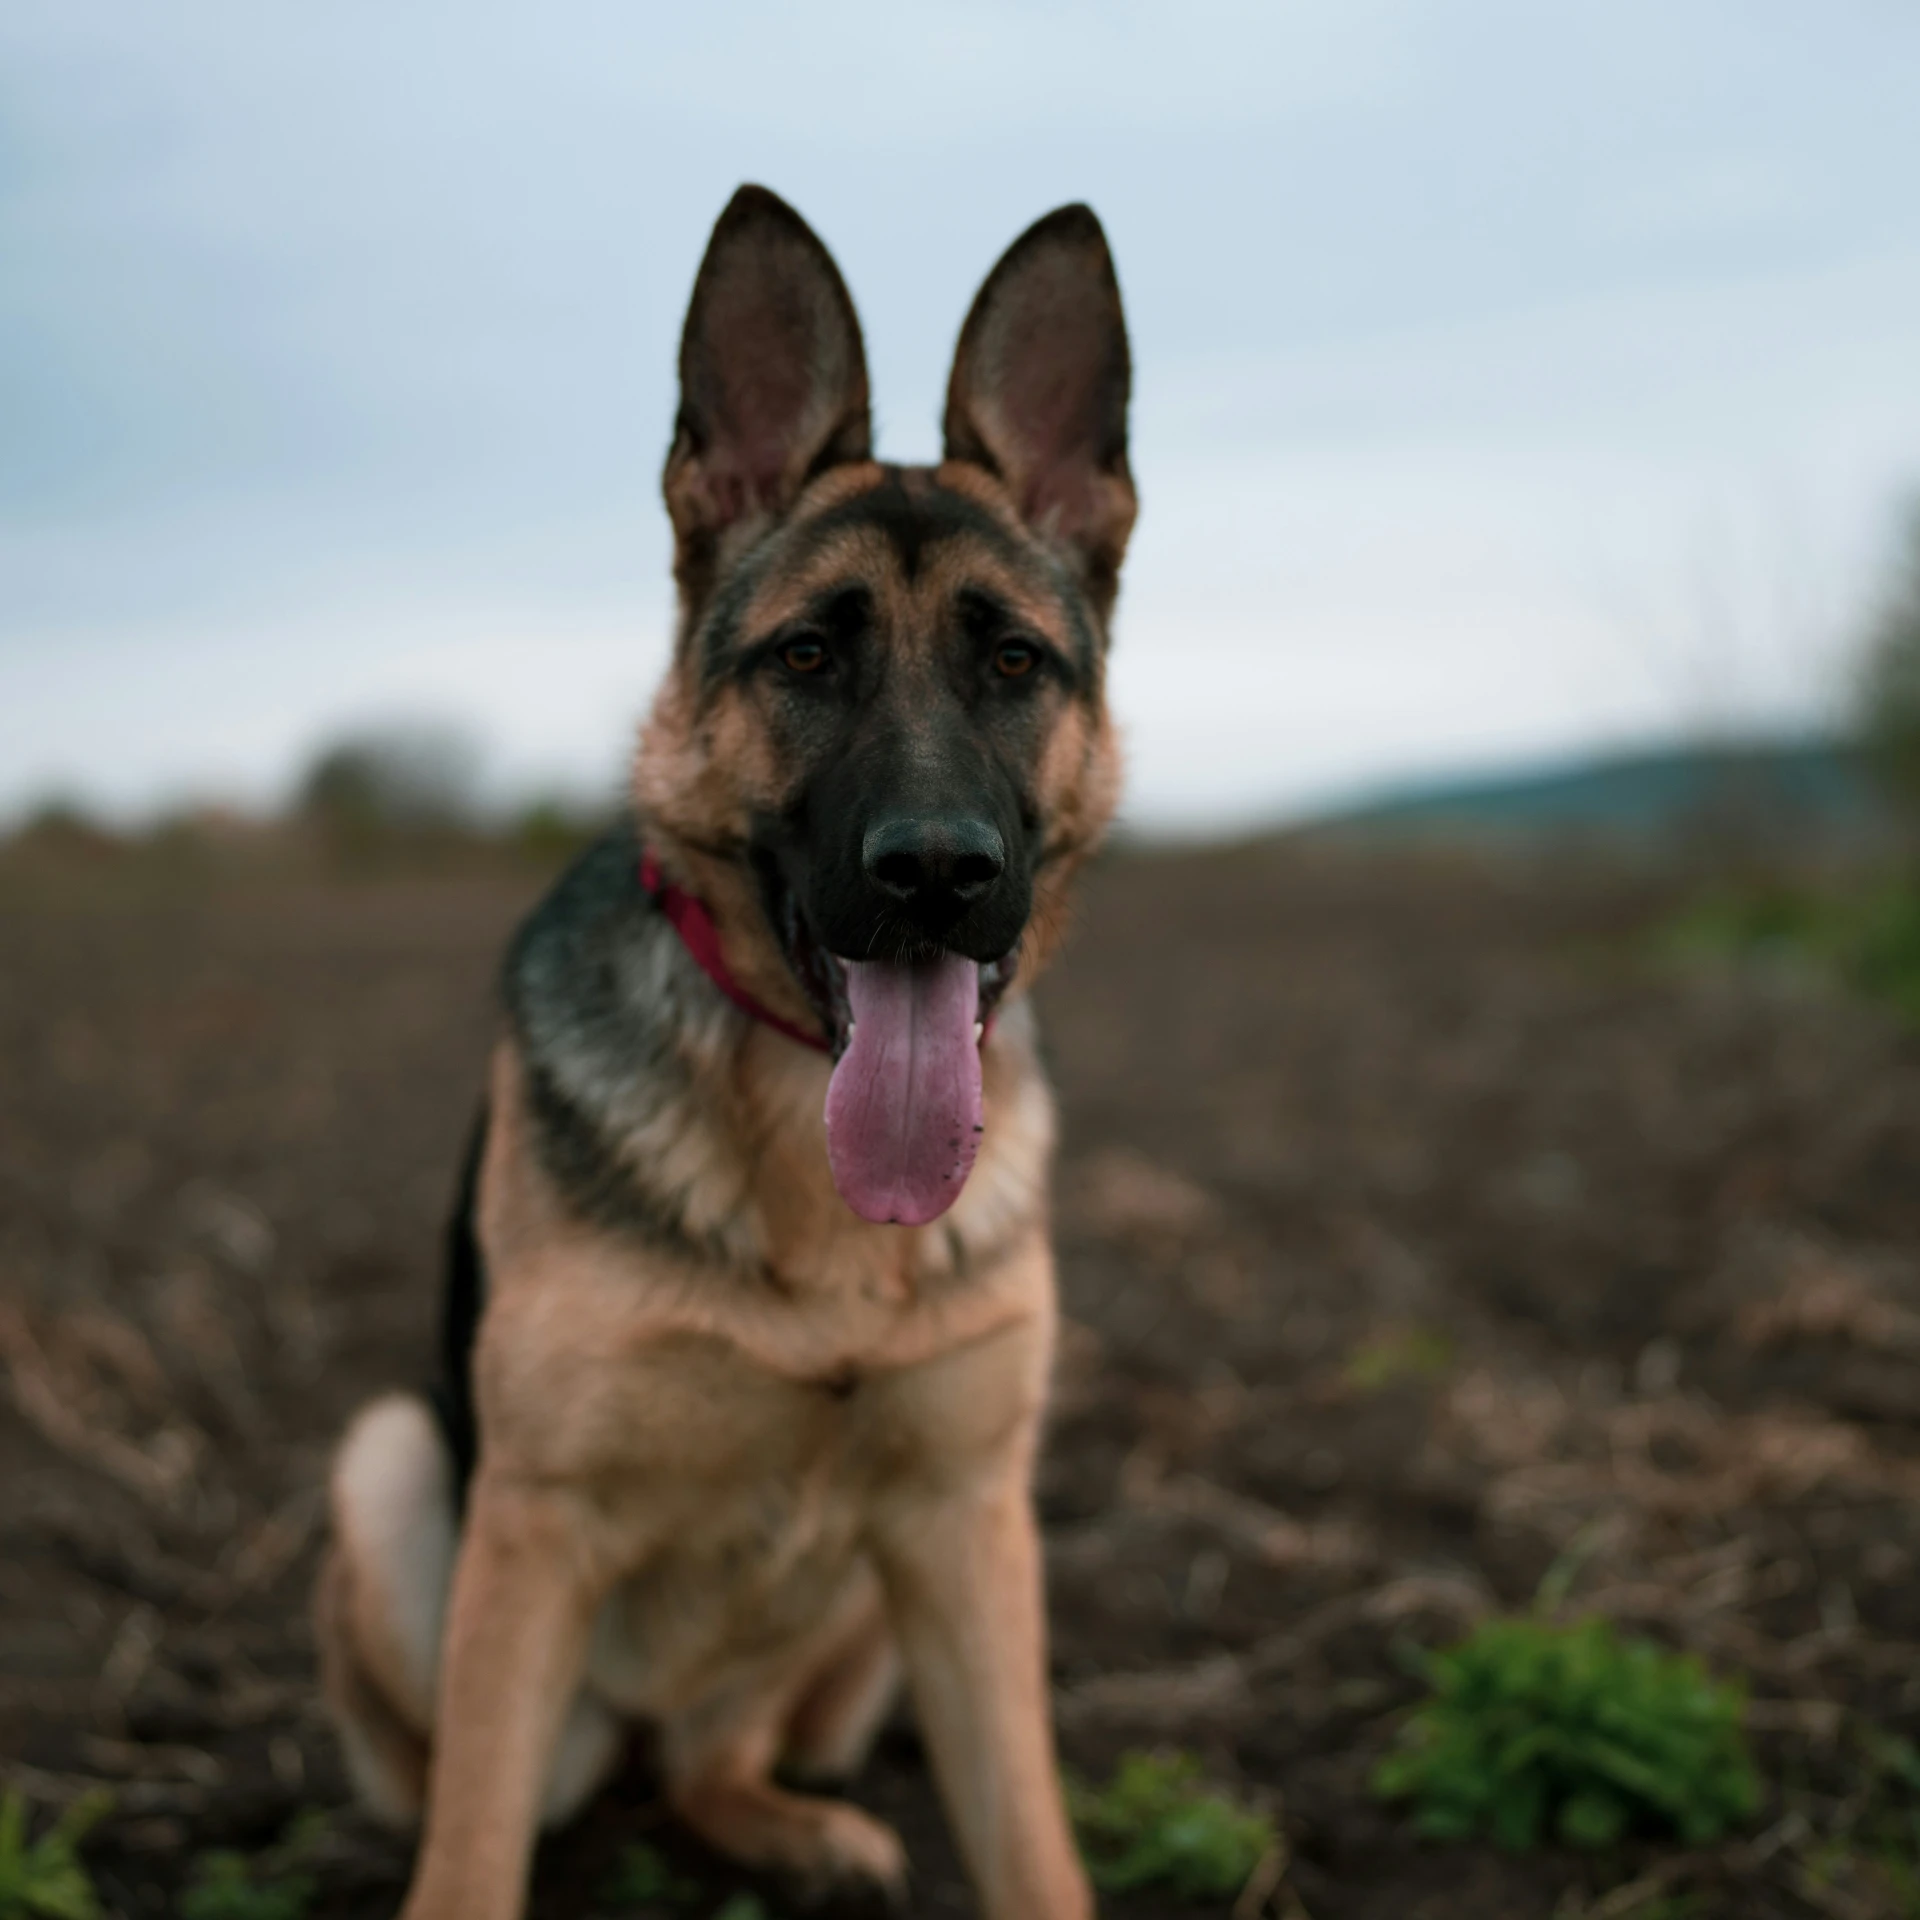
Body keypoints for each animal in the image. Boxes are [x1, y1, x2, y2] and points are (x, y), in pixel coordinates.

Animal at [311, 183, 1121, 1920]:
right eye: (807, 656)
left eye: (1015, 662)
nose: (934, 871)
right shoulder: (534, 1531)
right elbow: (468, 1852)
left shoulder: (968, 1525)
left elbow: (1030, 1838)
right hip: (400, 1480)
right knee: (530, 1783)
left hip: (869, 1612)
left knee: (707, 1766)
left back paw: (797, 1831)